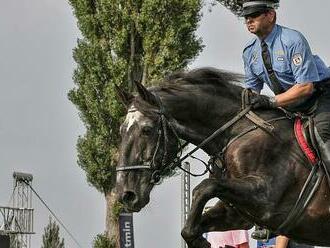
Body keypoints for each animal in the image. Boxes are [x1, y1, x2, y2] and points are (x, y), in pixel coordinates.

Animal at [114, 68, 330, 248]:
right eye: (121, 131)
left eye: (146, 130)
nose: (127, 195)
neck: (235, 131)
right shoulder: (237, 213)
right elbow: (192, 225)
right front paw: (199, 240)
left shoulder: (267, 199)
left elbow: (204, 188)